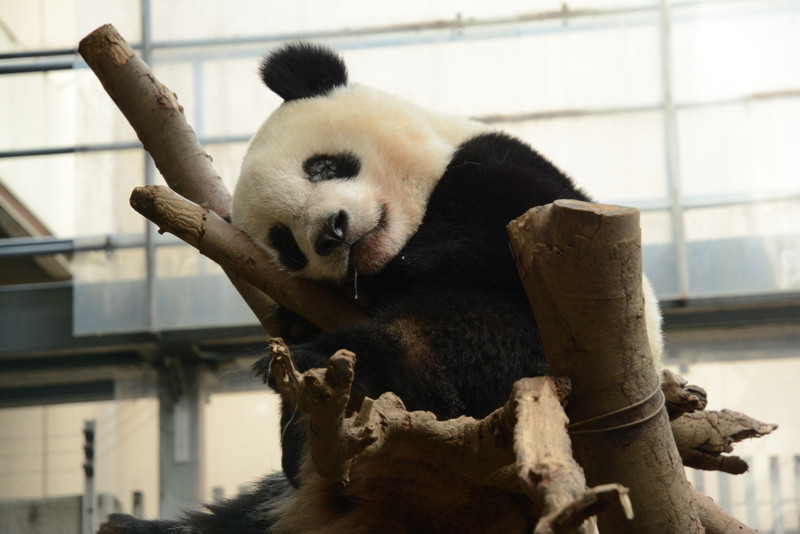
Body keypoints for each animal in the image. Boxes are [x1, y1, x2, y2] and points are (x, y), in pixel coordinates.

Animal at [98, 44, 664, 534]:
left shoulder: (514, 184)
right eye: (286, 244)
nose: (332, 233)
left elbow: (497, 227)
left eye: (324, 166)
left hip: (550, 373)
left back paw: (336, 362)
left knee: (471, 337)